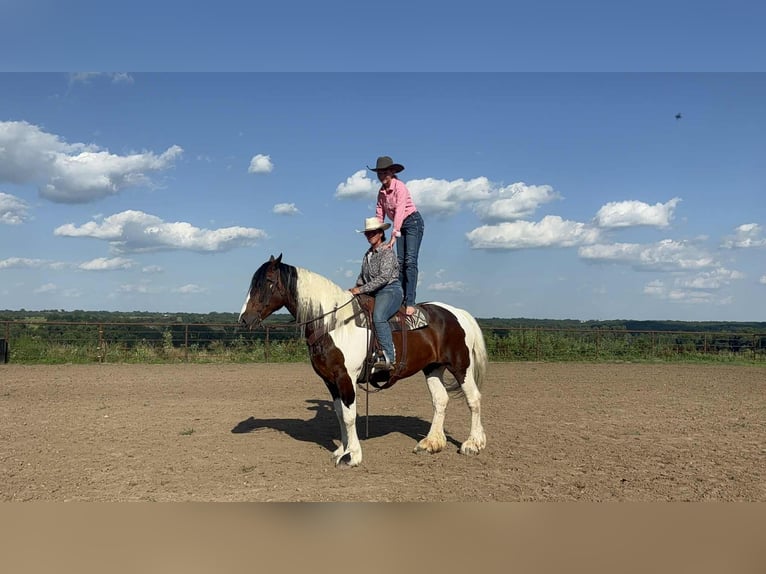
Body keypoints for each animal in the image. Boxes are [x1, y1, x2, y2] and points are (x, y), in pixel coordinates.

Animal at [238, 254, 488, 467]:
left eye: (267, 281)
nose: (244, 319)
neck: (333, 323)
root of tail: (457, 312)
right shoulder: (330, 380)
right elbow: (340, 415)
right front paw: (341, 450)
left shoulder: (346, 377)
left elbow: (349, 417)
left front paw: (353, 455)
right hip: (432, 368)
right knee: (440, 400)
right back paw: (431, 443)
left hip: (460, 366)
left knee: (474, 399)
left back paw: (473, 444)